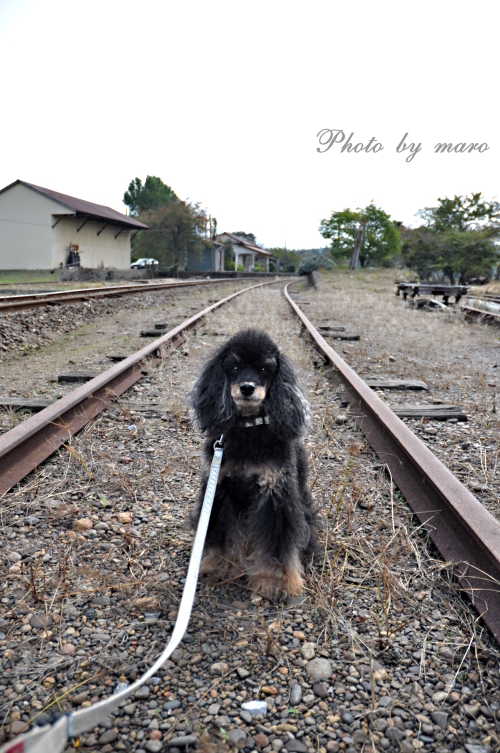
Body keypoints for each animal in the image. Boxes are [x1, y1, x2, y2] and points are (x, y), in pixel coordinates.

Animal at [189, 328, 318, 600]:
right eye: (234, 366)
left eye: (264, 368)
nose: (247, 388)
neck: (249, 429)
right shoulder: (221, 490)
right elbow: (222, 534)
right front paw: (221, 565)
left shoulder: (275, 493)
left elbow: (276, 546)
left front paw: (275, 580)